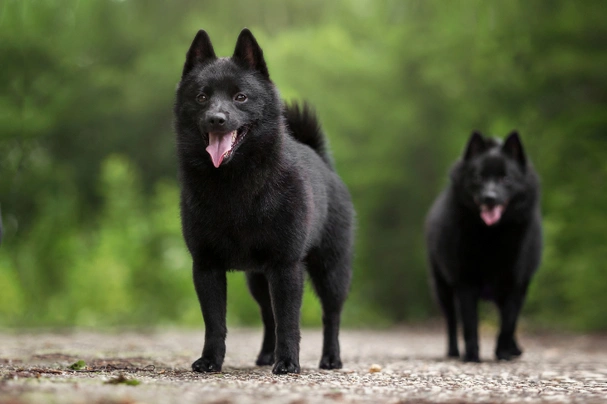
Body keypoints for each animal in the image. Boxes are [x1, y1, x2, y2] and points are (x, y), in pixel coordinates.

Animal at [173, 29, 354, 376]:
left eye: (240, 97)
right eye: (202, 97)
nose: (217, 119)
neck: (234, 185)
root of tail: (322, 161)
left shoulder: (286, 266)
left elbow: (289, 321)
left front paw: (288, 362)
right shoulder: (206, 267)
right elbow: (215, 323)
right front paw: (210, 360)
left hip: (330, 271)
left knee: (331, 316)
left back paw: (331, 358)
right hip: (258, 280)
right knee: (268, 315)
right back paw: (267, 355)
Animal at [426, 131, 544, 362]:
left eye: (506, 178)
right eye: (477, 178)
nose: (489, 197)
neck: (491, 236)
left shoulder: (515, 283)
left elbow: (508, 322)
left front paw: (503, 353)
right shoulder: (466, 282)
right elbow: (470, 323)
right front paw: (472, 355)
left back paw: (513, 349)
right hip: (442, 287)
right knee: (452, 321)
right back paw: (453, 351)